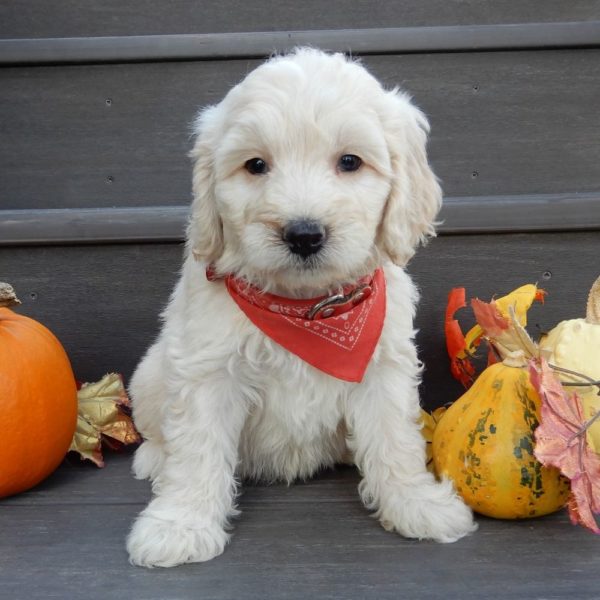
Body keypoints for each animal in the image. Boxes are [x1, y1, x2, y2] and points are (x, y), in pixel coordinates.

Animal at [126, 48, 478, 568]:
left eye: (350, 161)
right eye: (255, 165)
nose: (305, 234)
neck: (308, 308)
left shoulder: (383, 365)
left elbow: (395, 441)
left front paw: (416, 505)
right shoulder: (208, 371)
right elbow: (197, 449)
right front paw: (180, 526)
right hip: (152, 374)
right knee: (159, 432)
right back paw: (154, 459)